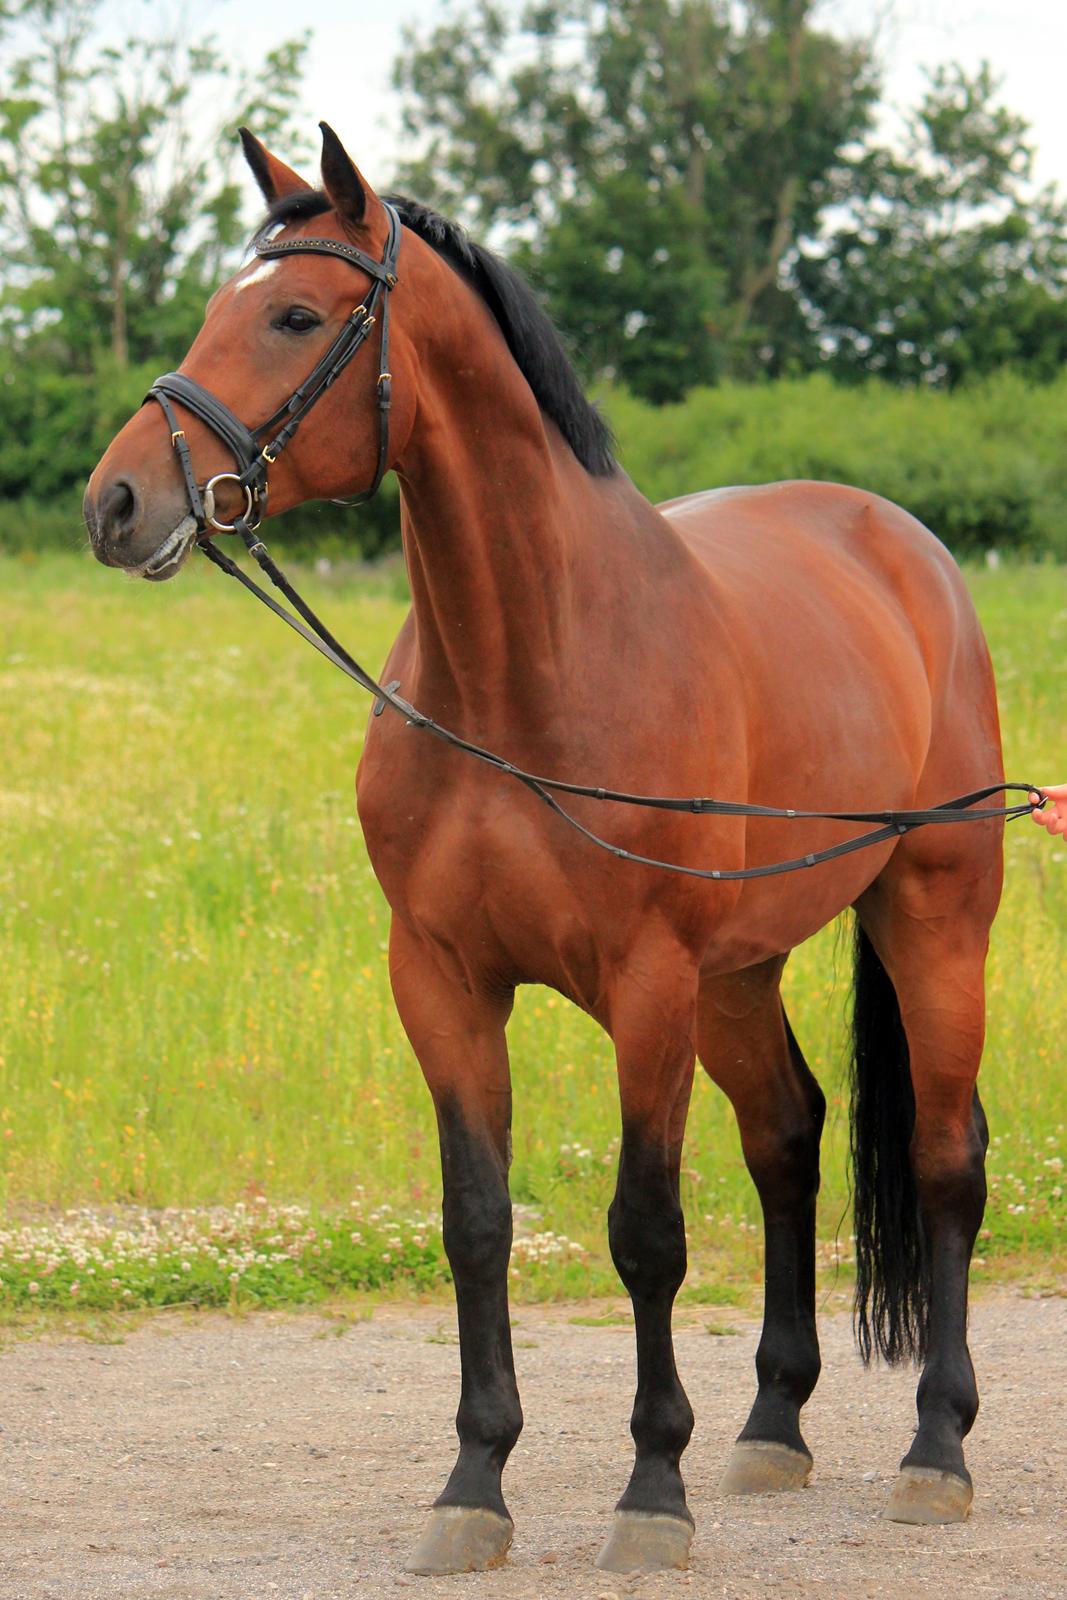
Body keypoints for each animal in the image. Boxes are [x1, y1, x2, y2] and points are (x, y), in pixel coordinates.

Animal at [85, 124, 1067, 1574]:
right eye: (218, 303)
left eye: (296, 315)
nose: (117, 502)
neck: (527, 668)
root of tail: (904, 548)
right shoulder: (440, 980)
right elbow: (475, 1225)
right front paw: (472, 1484)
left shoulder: (645, 982)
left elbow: (643, 1233)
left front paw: (648, 1490)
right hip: (739, 973)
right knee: (786, 1137)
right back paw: (770, 1426)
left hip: (930, 917)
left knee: (948, 1160)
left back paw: (931, 1448)